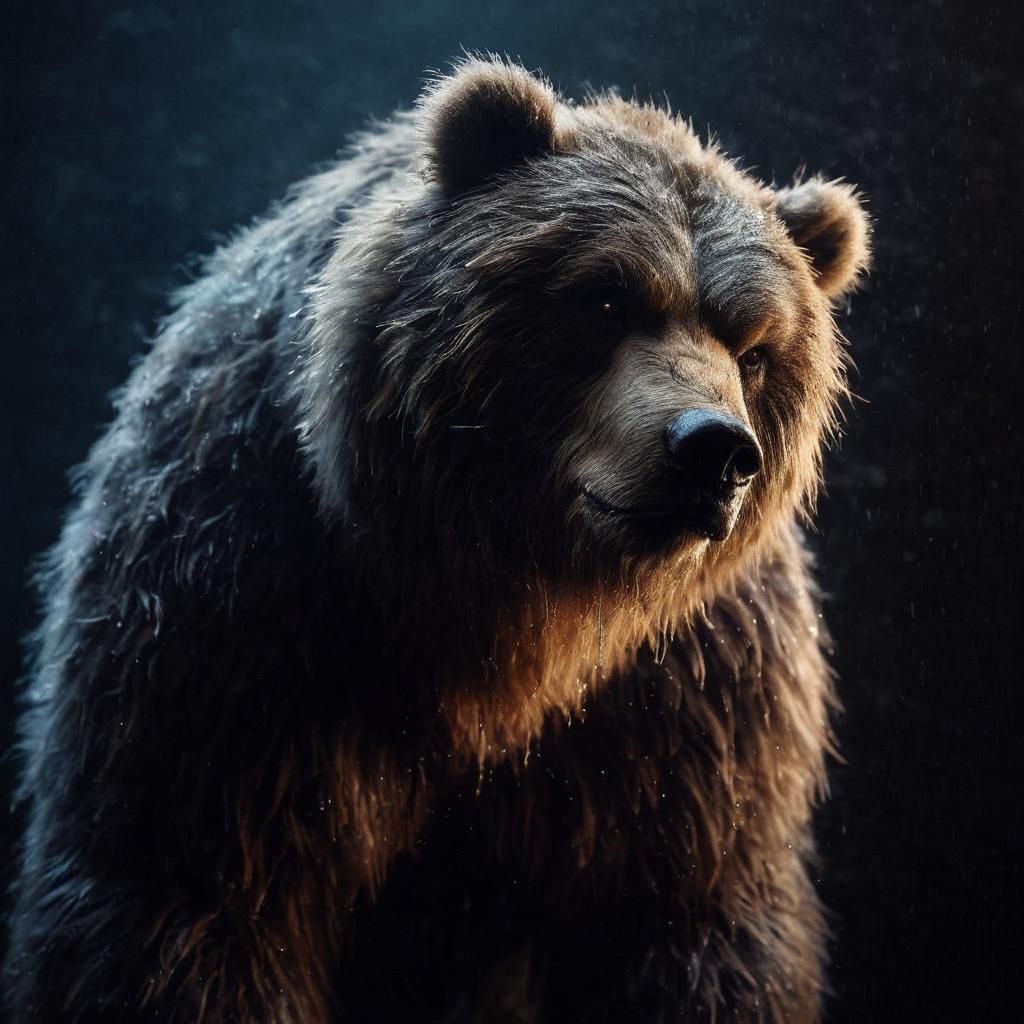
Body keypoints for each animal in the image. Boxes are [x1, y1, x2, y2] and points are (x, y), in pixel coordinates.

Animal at [4, 58, 870, 1023]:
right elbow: (188, 895)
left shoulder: (690, 703)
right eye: (607, 298)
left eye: (754, 345)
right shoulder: (241, 603)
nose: (712, 450)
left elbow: (692, 925)